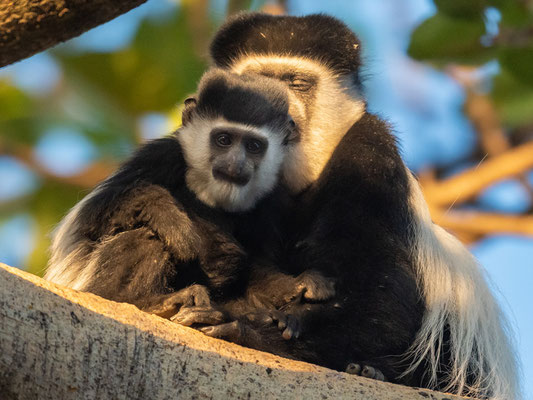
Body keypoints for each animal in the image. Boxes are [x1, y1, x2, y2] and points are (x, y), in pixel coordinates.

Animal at [46, 68, 332, 324]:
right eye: (224, 139)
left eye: (253, 146)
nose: (235, 164)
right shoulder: (161, 156)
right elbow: (89, 221)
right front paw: (167, 216)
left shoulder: (270, 202)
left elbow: (258, 266)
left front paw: (299, 286)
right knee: (145, 237)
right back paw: (151, 302)